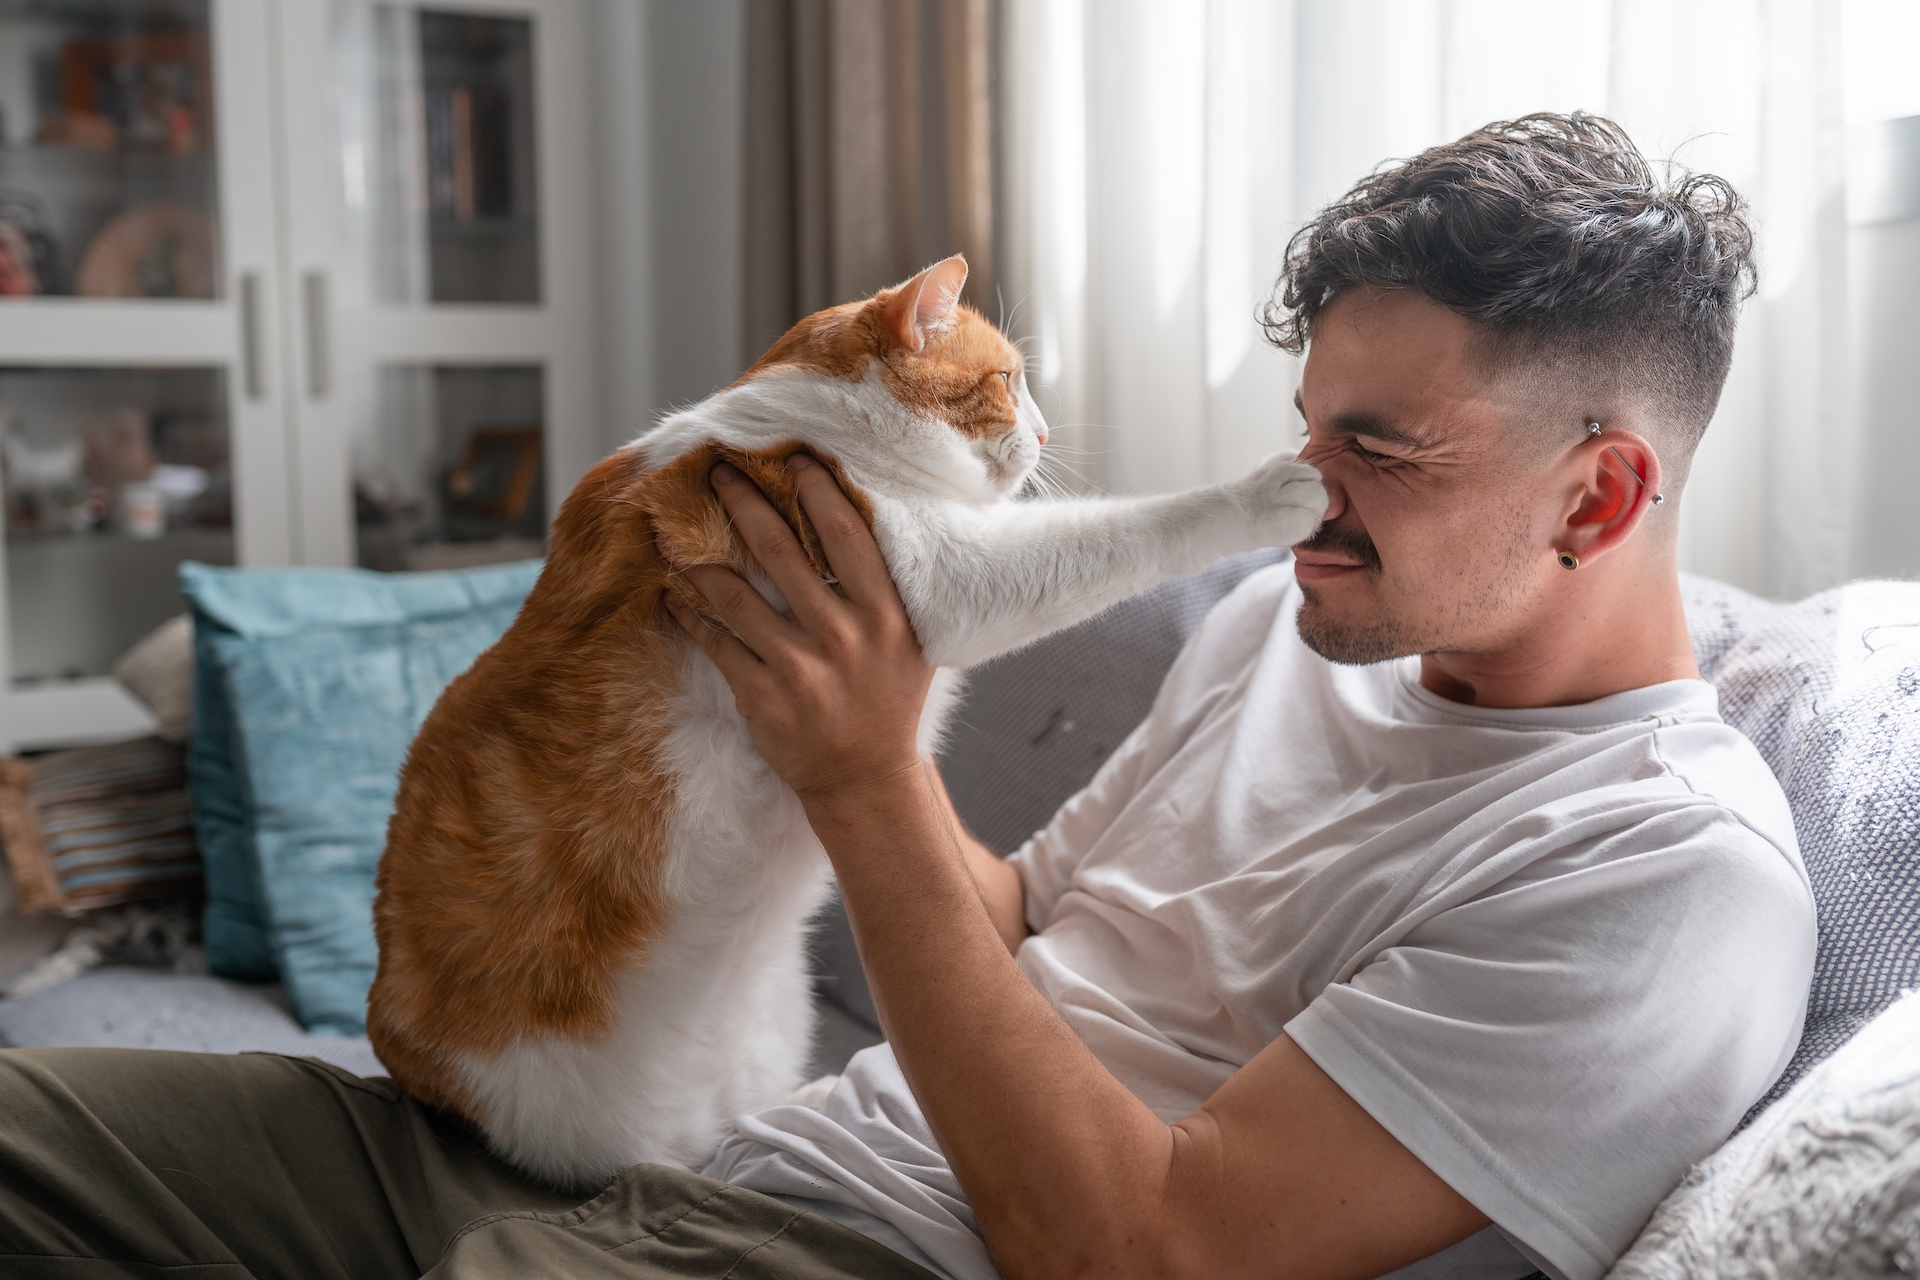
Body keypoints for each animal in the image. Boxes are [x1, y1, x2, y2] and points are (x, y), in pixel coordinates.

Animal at [366, 255, 1328, 1189]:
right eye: (1009, 381)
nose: (1049, 435)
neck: (815, 428)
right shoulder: (951, 575)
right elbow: (1123, 528)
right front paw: (1260, 496)